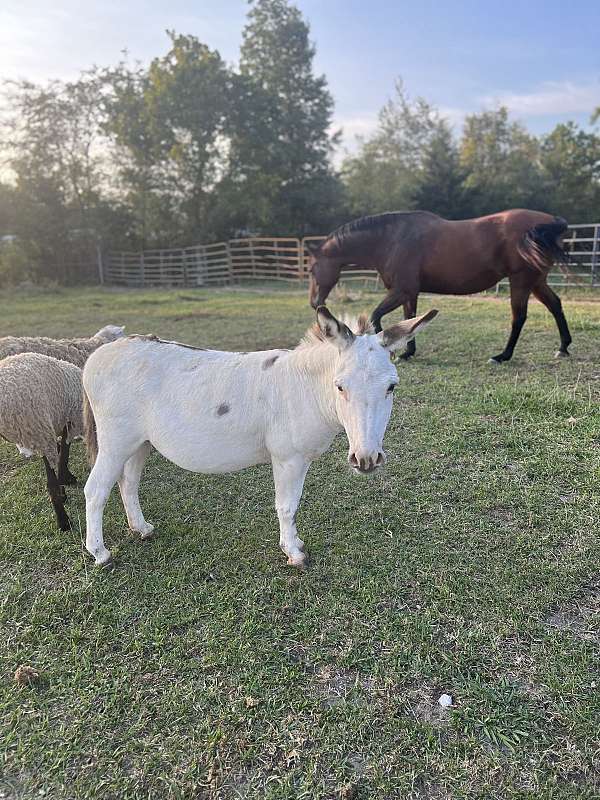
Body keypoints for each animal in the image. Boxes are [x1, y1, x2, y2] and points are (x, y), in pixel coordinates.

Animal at [0, 352, 84, 528]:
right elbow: (63, 454)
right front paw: (65, 480)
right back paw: (63, 520)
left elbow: (62, 451)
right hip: (39, 427)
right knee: (50, 482)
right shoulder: (67, 420)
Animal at [310, 211, 572, 364]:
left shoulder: (401, 291)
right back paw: (563, 347)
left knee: (519, 317)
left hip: (521, 282)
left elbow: (377, 316)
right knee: (555, 306)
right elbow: (411, 318)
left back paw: (502, 356)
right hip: (536, 281)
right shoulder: (410, 293)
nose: (314, 303)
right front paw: (408, 353)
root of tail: (550, 221)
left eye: (312, 270)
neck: (392, 239)